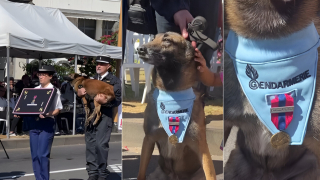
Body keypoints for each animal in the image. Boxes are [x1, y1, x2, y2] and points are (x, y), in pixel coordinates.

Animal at [136, 32, 216, 180]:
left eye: (167, 40)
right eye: (153, 38)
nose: (140, 49)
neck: (172, 94)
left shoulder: (202, 148)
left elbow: (210, 173)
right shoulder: (148, 140)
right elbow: (141, 173)